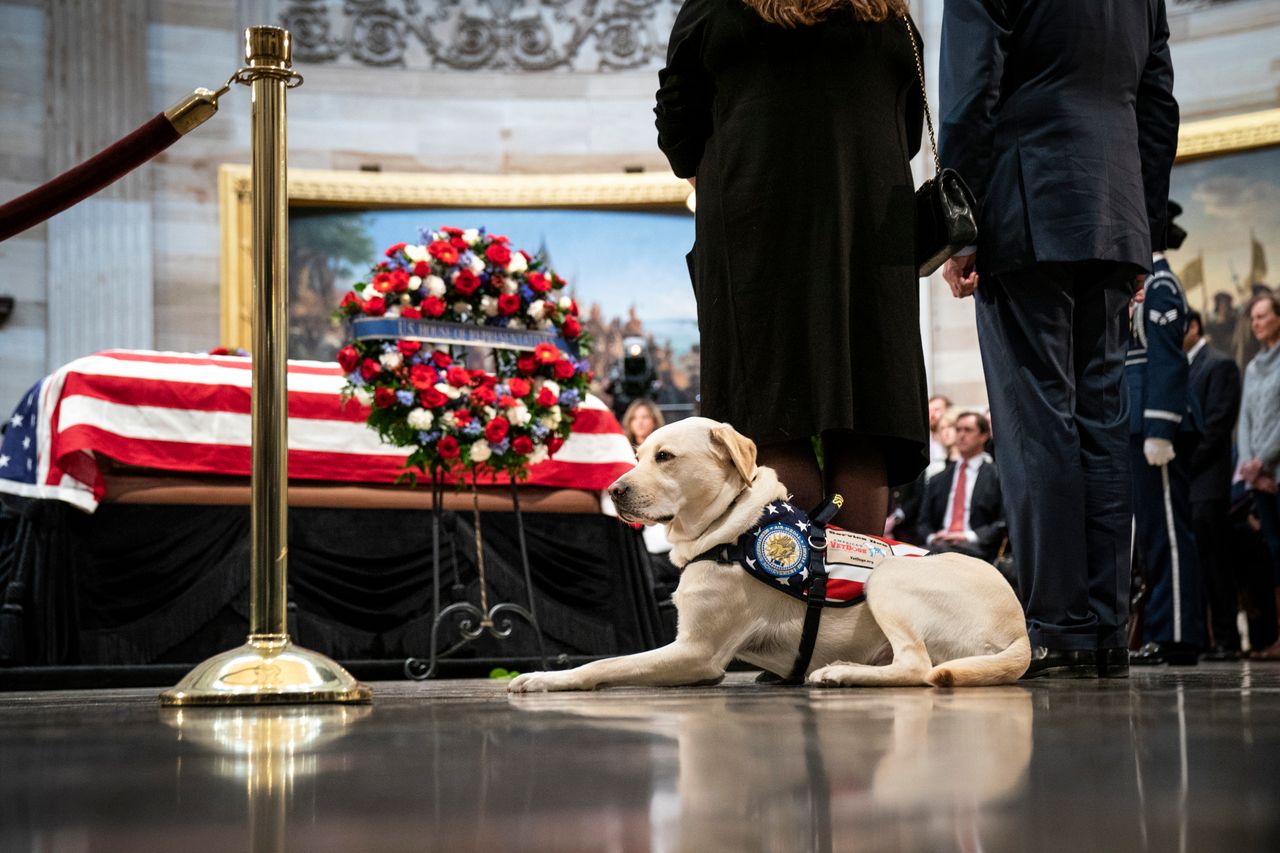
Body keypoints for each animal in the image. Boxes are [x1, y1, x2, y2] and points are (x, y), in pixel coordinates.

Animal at [506, 414, 1029, 686]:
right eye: (636, 456)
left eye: (664, 457)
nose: (613, 491)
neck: (727, 529)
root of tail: (1021, 631)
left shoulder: (697, 652)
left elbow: (606, 662)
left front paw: (547, 679)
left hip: (888, 578)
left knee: (918, 667)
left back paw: (840, 673)